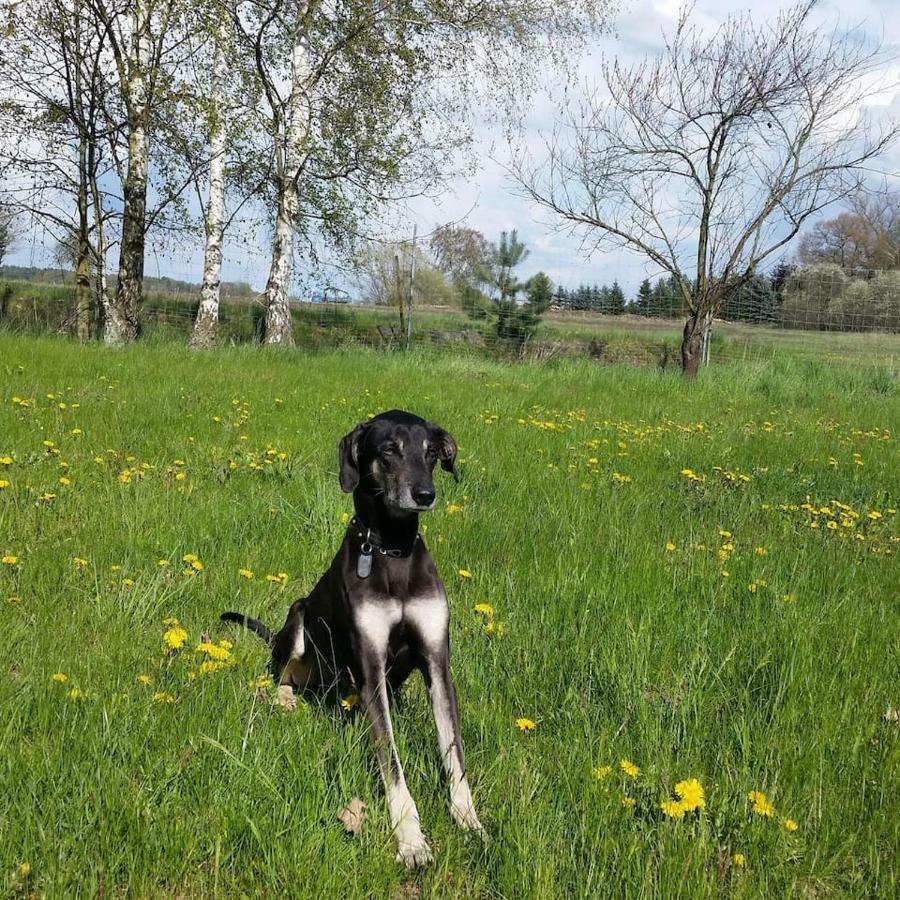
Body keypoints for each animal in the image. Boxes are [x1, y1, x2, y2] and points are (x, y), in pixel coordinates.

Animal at [221, 408, 482, 864]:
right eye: (389, 449)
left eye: (432, 452)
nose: (425, 494)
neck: (392, 550)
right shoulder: (370, 666)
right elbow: (392, 765)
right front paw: (411, 839)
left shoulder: (436, 660)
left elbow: (454, 751)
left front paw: (468, 818)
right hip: (298, 618)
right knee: (283, 672)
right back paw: (285, 698)